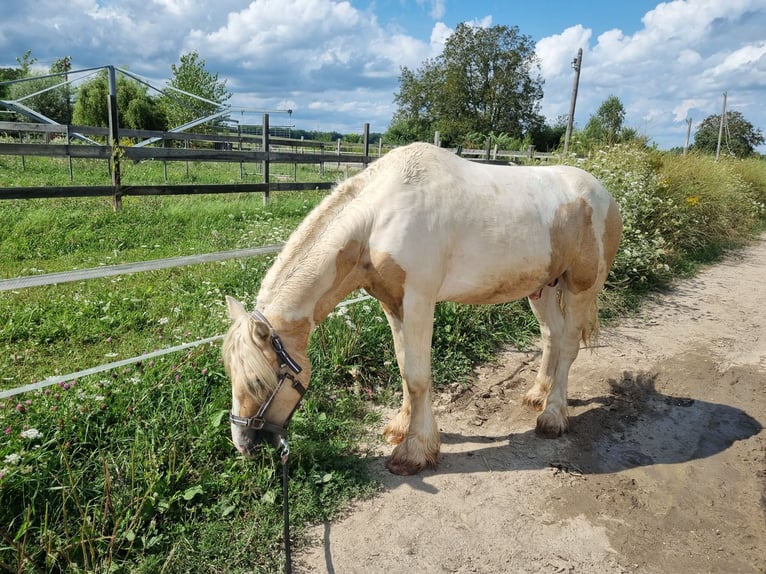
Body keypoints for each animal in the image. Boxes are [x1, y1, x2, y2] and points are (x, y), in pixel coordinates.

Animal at [222, 143, 624, 476]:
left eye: (258, 381)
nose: (242, 445)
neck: (378, 219)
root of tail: (603, 192)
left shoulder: (418, 301)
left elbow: (417, 376)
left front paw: (416, 451)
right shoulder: (392, 303)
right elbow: (403, 367)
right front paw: (401, 428)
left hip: (580, 288)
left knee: (568, 345)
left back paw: (553, 415)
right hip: (542, 289)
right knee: (550, 336)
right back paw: (538, 394)